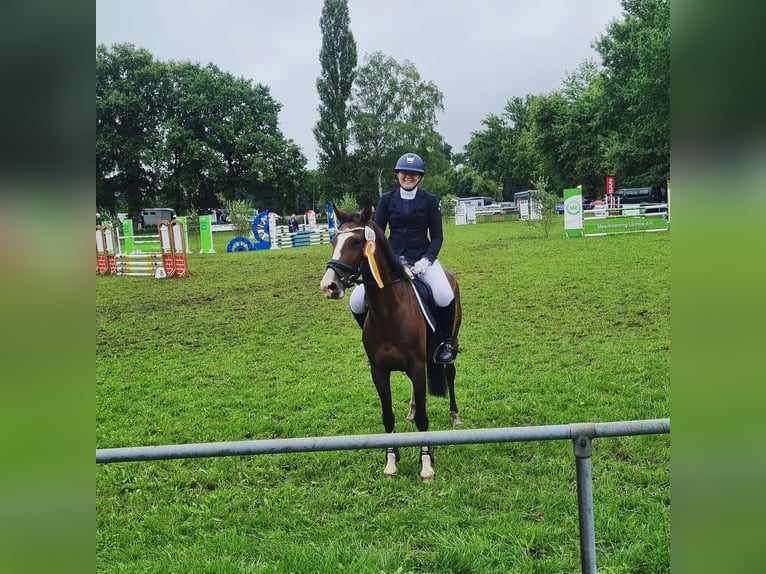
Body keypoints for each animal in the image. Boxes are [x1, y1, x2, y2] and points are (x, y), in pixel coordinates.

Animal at [320, 205, 462, 484]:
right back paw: (411, 410)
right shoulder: (379, 371)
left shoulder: (416, 366)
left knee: (449, 374)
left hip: (452, 341)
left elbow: (423, 420)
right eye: (333, 241)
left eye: (356, 241)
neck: (389, 312)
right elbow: (387, 416)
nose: (329, 286)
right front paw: (391, 460)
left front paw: (426, 464)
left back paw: (454, 415)